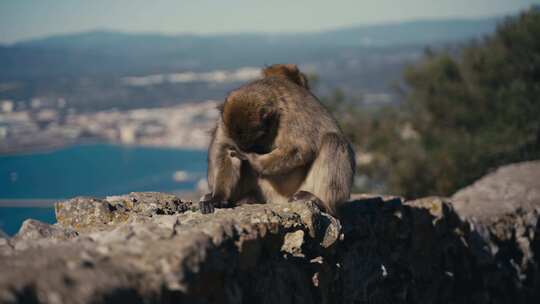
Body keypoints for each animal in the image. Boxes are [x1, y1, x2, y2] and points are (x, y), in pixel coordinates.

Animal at [200, 63, 356, 216]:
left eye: (257, 140)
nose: (249, 150)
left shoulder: (291, 118)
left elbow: (302, 150)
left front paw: (252, 159)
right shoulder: (225, 124)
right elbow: (224, 151)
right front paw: (218, 197)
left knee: (333, 140)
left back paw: (321, 202)